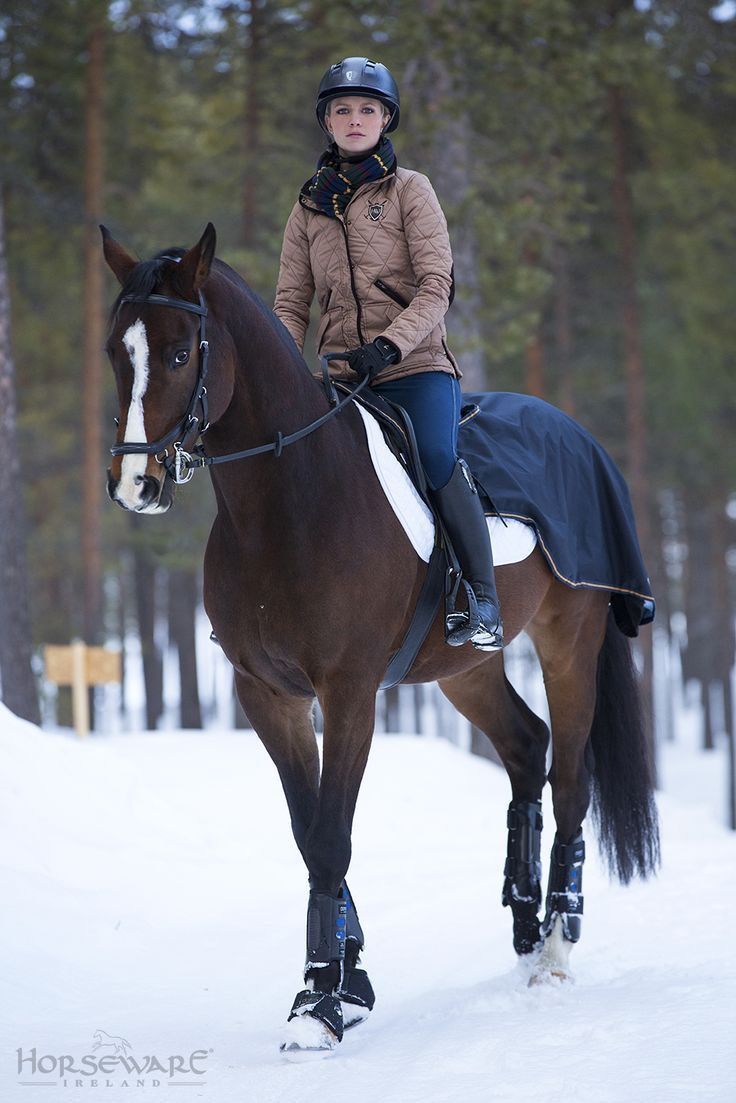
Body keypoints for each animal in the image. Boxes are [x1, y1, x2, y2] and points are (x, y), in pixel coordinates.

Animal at [100, 226, 657, 1058]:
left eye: (176, 352)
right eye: (115, 351)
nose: (134, 484)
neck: (292, 500)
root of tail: (575, 433)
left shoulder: (350, 692)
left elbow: (333, 837)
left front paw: (318, 1005)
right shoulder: (266, 695)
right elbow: (308, 835)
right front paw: (348, 976)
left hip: (569, 643)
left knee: (570, 780)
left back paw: (557, 945)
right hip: (465, 669)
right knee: (527, 747)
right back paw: (525, 927)